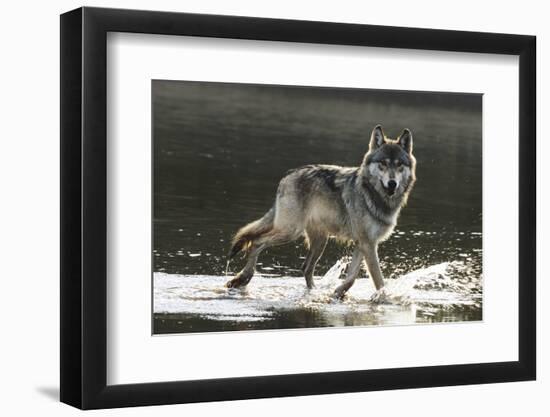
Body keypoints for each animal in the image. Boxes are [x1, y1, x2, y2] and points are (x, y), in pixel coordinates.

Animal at [226, 125, 416, 298]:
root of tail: (288, 175)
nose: (392, 184)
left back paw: (313, 291)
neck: (374, 195)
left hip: (319, 241)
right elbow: (379, 280)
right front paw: (385, 299)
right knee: (257, 242)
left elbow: (352, 277)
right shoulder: (368, 244)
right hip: (291, 232)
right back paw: (242, 278)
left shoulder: (363, 243)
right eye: (383, 163)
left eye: (399, 165)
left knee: (306, 268)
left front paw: (338, 293)